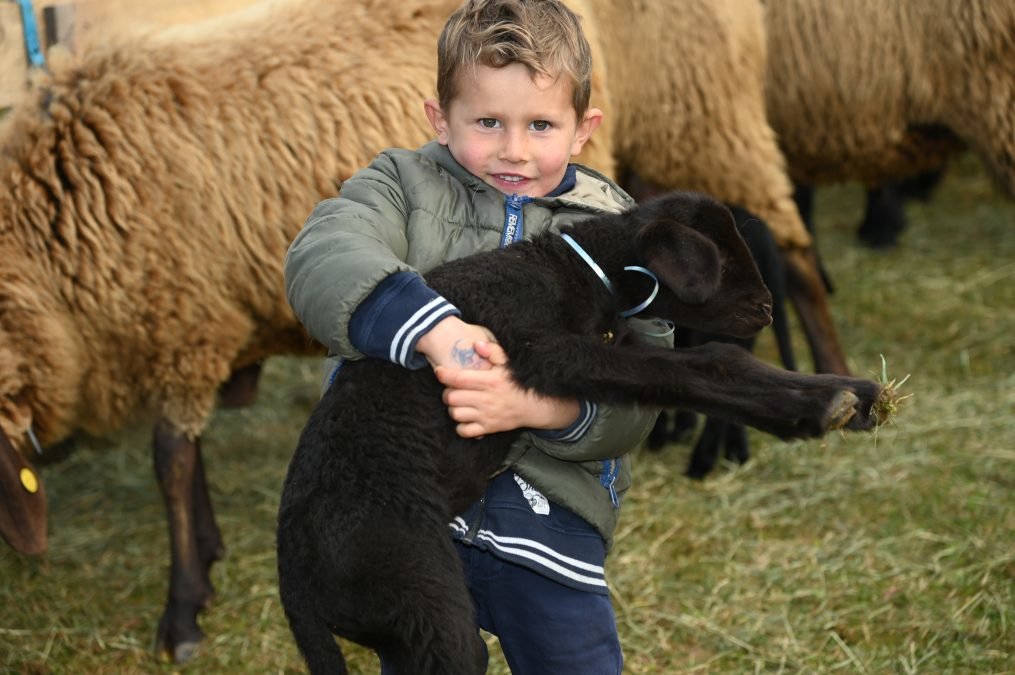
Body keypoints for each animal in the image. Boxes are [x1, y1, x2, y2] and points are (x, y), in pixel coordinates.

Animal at [274, 190, 885, 673]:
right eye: (722, 257)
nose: (766, 307)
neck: (576, 272)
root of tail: (293, 582)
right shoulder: (550, 354)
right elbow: (689, 368)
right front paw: (819, 406)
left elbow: (719, 360)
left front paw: (858, 394)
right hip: (422, 601)